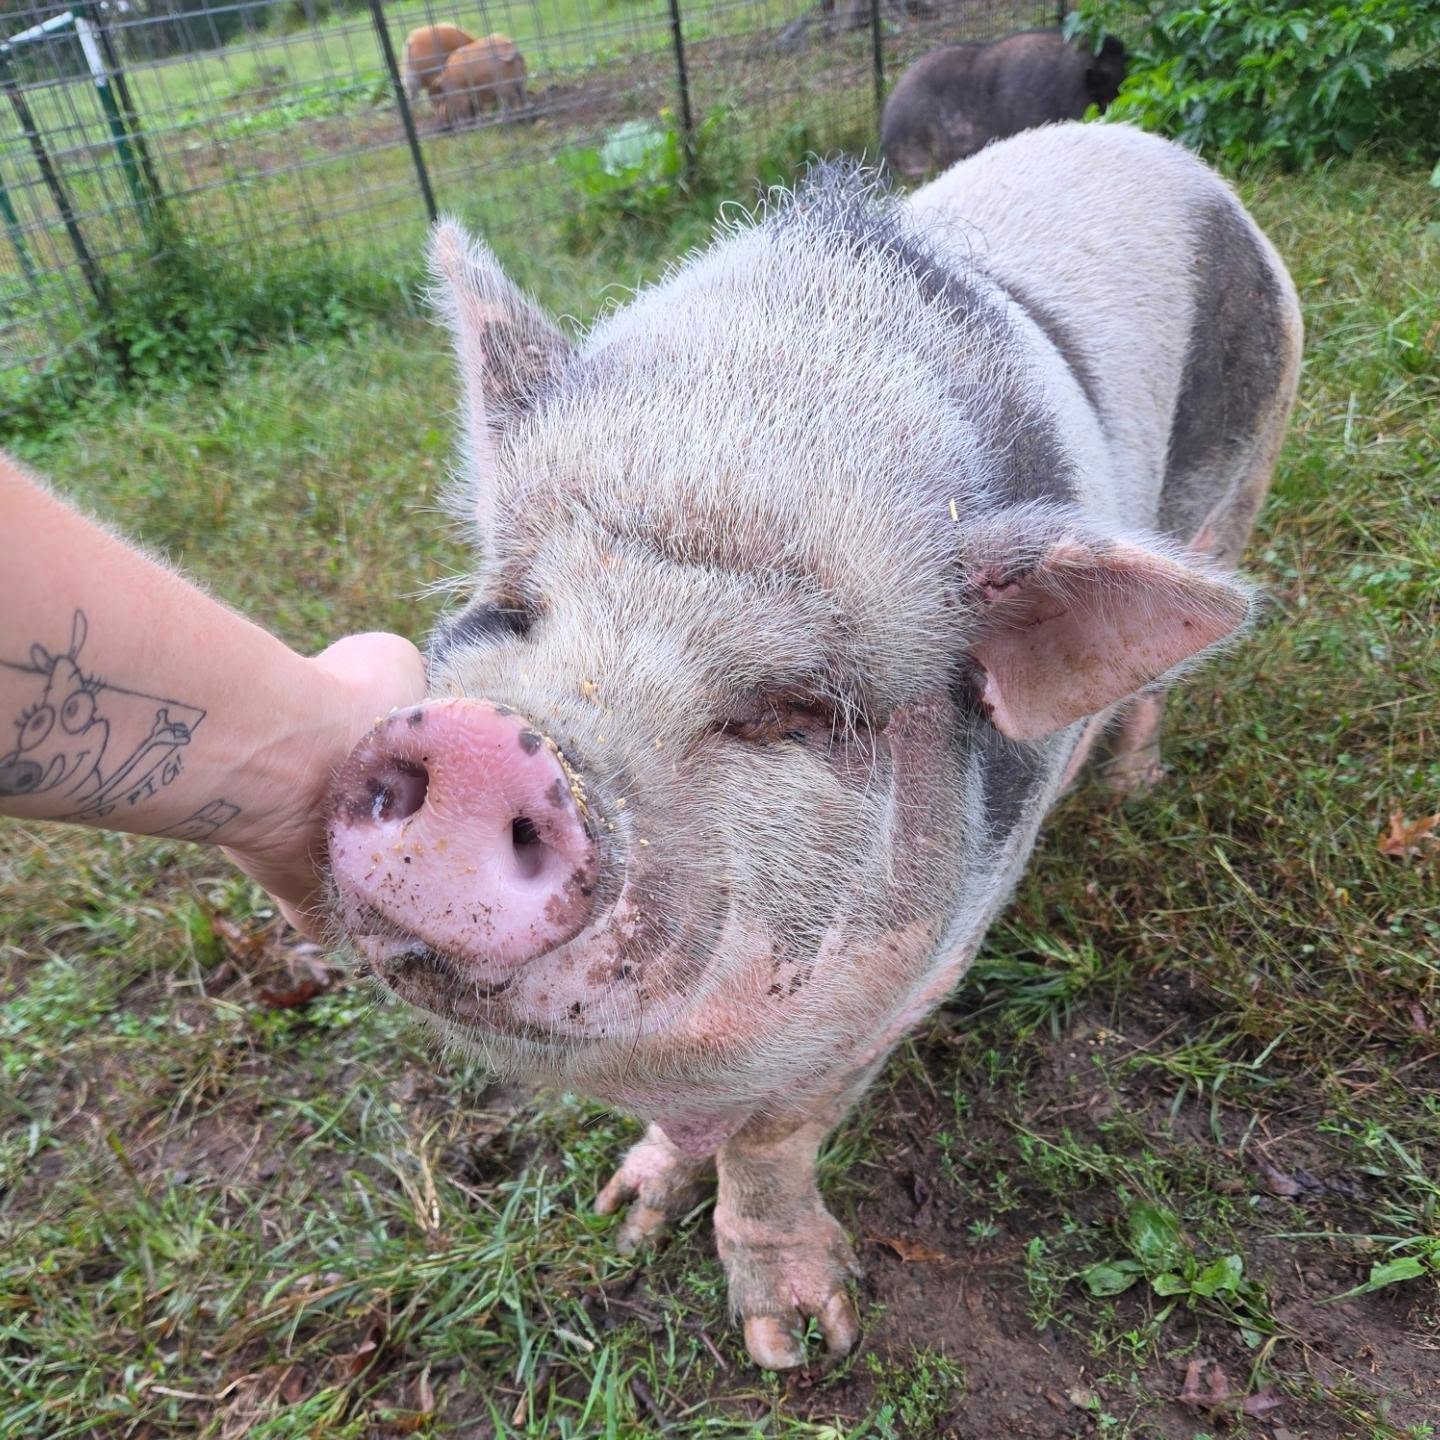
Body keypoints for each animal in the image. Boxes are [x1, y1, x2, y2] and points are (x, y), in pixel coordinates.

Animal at [326, 123, 1302, 1370]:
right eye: (516, 609)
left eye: (788, 710)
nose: (487, 742)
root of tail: (1145, 140)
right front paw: (622, 1218)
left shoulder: (920, 971)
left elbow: (776, 1137)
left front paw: (800, 1344)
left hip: (1251, 468)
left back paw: (1131, 789)